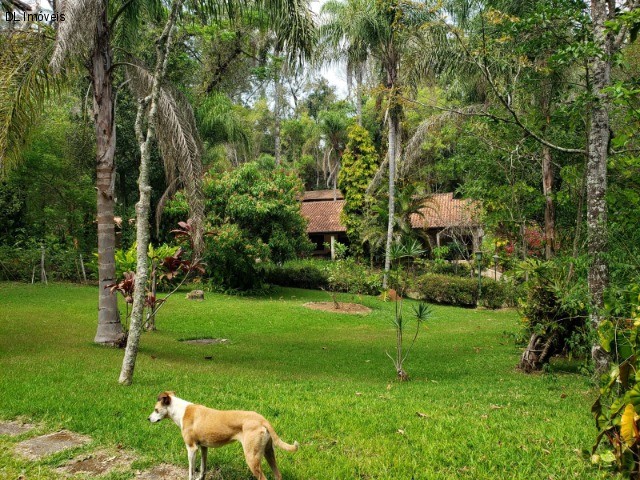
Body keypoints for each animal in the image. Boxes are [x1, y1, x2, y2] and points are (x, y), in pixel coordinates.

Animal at [148, 392, 300, 480]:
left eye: (156, 410)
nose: (148, 419)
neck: (181, 411)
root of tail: (262, 419)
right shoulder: (203, 447)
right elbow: (202, 469)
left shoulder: (191, 448)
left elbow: (191, 472)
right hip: (268, 452)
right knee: (278, 475)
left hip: (252, 457)